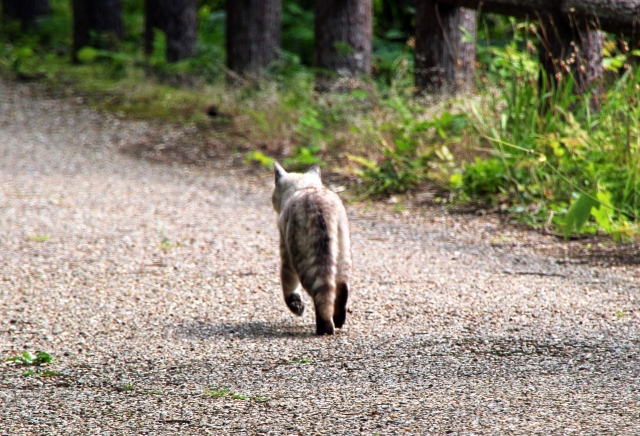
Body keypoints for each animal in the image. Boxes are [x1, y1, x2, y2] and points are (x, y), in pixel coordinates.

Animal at [272, 162, 352, 336]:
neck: (306, 187)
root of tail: (320, 206)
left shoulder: (285, 253)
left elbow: (288, 286)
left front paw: (296, 307)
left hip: (304, 259)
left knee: (320, 294)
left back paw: (325, 328)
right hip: (342, 253)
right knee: (341, 287)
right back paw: (338, 321)